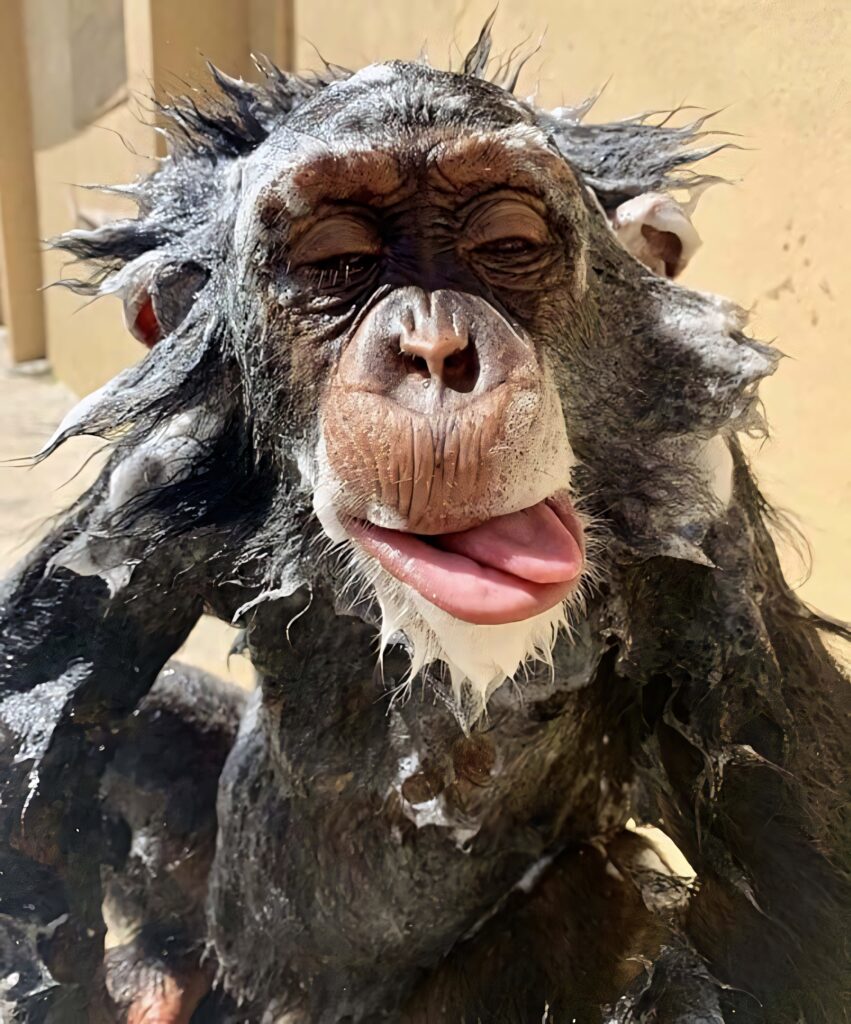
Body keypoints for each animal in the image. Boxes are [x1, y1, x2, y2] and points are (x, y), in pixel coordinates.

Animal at [0, 21, 849, 1024]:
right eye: (335, 261)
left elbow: (795, 878)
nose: (437, 348)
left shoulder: (700, 513)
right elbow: (43, 724)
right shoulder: (154, 491)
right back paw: (161, 976)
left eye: (505, 241)